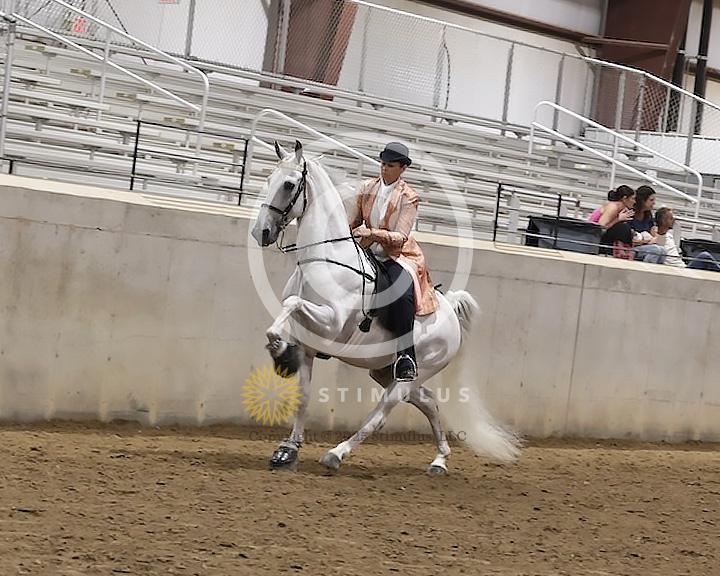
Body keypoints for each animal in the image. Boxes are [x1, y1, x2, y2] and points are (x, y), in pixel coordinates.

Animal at [250, 140, 520, 474]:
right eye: (268, 179)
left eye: (288, 185)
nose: (261, 233)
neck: (324, 259)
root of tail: (450, 314)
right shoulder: (308, 343)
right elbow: (303, 396)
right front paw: (287, 451)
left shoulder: (331, 322)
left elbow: (291, 303)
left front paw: (277, 348)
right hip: (384, 372)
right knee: (429, 401)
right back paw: (439, 460)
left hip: (410, 375)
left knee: (380, 415)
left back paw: (337, 453)